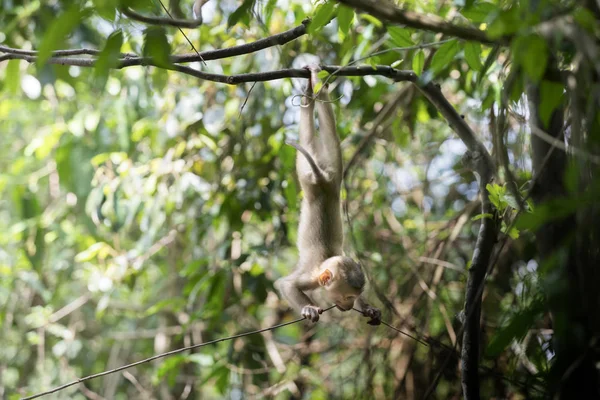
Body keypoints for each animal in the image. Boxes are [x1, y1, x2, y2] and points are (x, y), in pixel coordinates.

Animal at [276, 65, 382, 324]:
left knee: (328, 128)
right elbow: (287, 284)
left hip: (334, 172)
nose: (350, 304)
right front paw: (308, 308)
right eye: (346, 297)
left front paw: (369, 309)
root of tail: (321, 177)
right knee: (306, 137)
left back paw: (313, 87)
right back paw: (310, 93)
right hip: (308, 175)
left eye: (354, 297)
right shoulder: (310, 278)